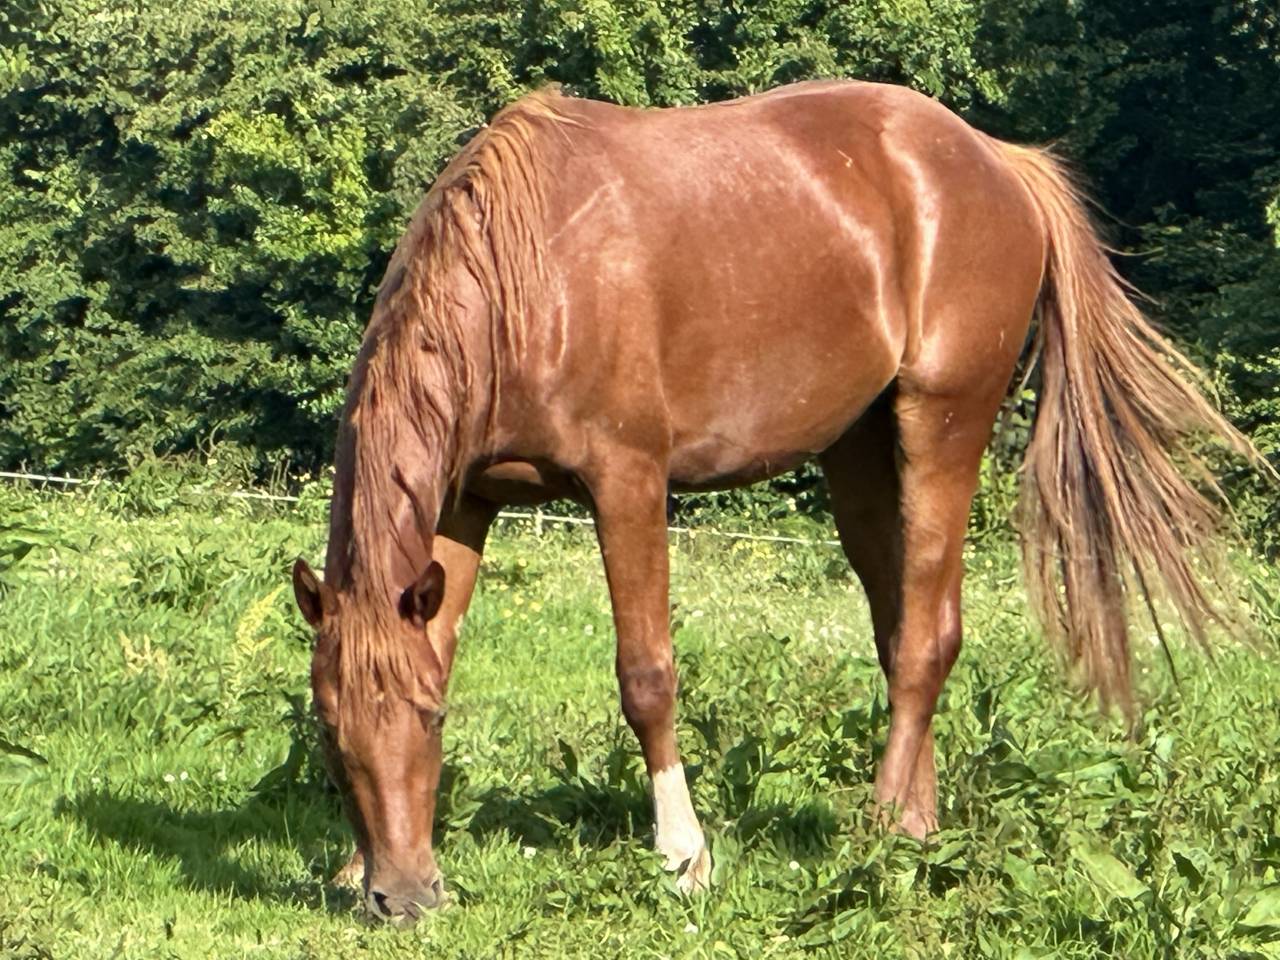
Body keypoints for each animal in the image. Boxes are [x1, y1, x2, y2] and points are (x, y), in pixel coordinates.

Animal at [290, 79, 1254, 921]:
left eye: (430, 720)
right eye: (333, 729)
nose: (403, 898)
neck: (526, 280)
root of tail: (997, 162)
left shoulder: (627, 482)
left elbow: (647, 675)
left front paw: (684, 855)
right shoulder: (468, 499)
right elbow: (440, 642)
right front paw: (351, 866)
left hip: (944, 423)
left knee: (926, 640)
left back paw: (880, 832)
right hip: (860, 451)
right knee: (905, 627)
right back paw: (918, 826)